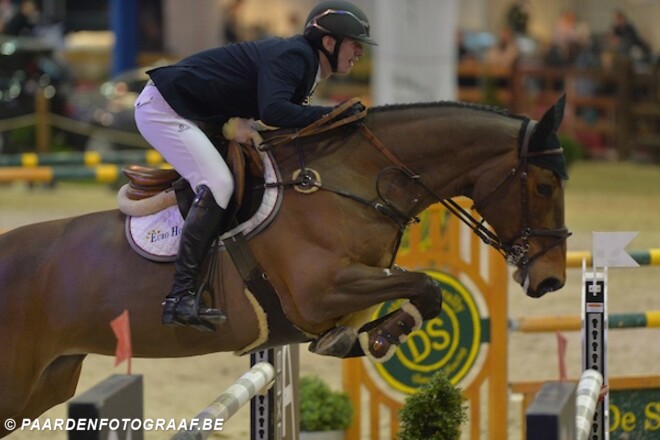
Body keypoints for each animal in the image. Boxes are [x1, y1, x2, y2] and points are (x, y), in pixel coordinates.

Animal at [0, 97, 570, 435]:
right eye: (544, 186)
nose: (552, 280)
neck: (346, 181)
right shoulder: (320, 292)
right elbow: (427, 286)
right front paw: (380, 338)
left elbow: (418, 291)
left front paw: (368, 336)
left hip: (45, 385)